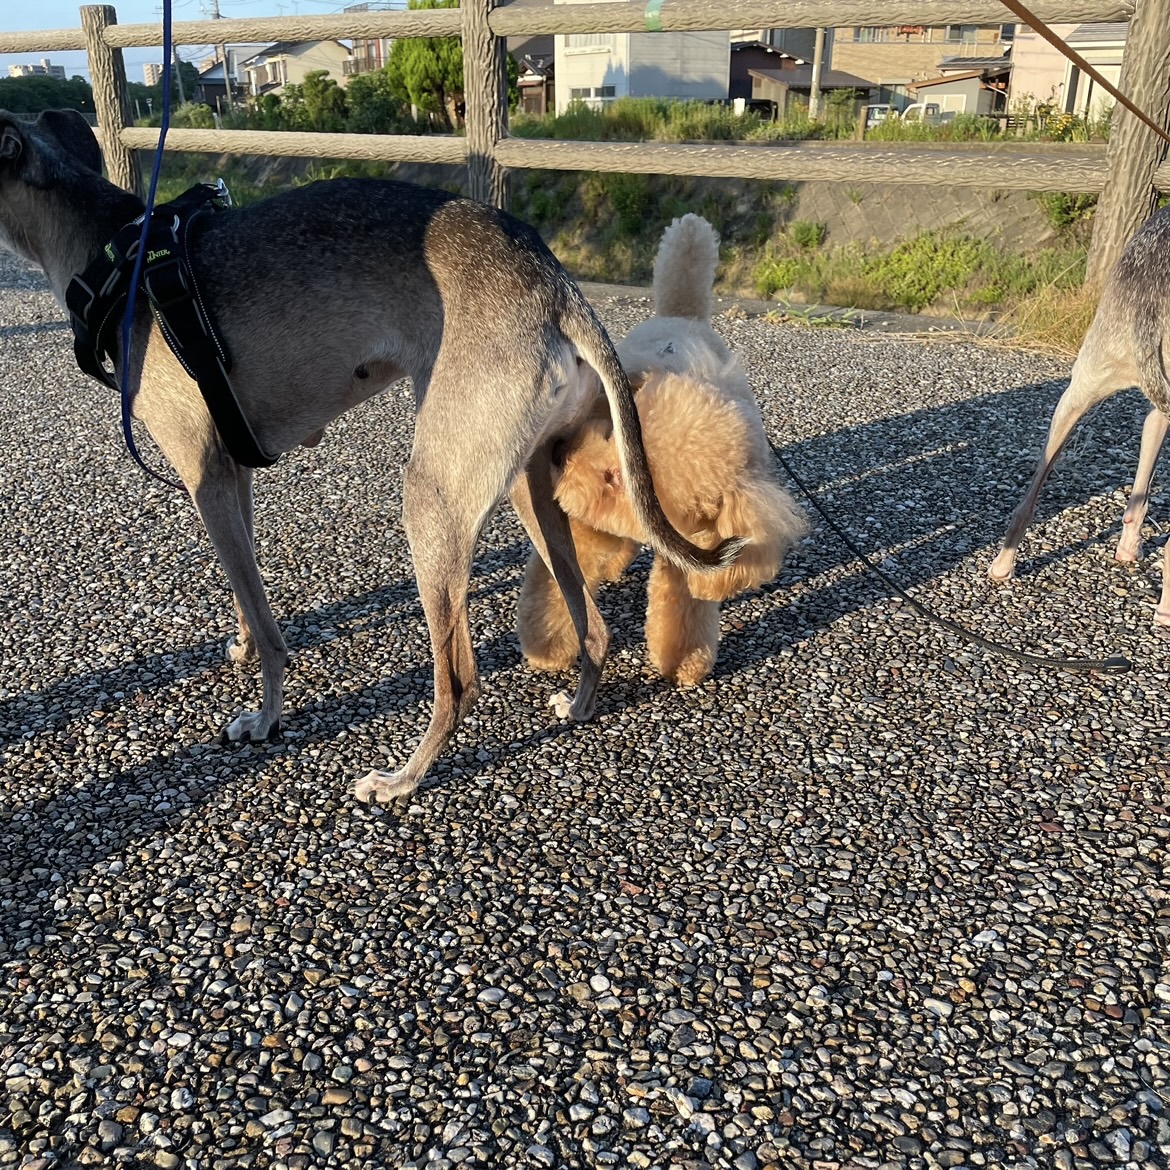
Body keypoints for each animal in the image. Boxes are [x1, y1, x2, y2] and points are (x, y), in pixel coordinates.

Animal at [0, 109, 744, 800]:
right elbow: (249, 597)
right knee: (592, 628)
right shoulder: (229, 476)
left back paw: (403, 780)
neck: (112, 254)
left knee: (460, 678)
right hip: (525, 486)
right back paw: (578, 706)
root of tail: (553, 281)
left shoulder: (204, 475)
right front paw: (241, 648)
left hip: (432, 498)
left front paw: (266, 718)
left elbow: (271, 629)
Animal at [517, 214, 809, 683]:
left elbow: (684, 607)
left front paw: (684, 662)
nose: (561, 455)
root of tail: (682, 314)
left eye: (618, 478)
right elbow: (561, 585)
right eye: (613, 431)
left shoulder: (697, 550)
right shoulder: (582, 522)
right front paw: (546, 646)